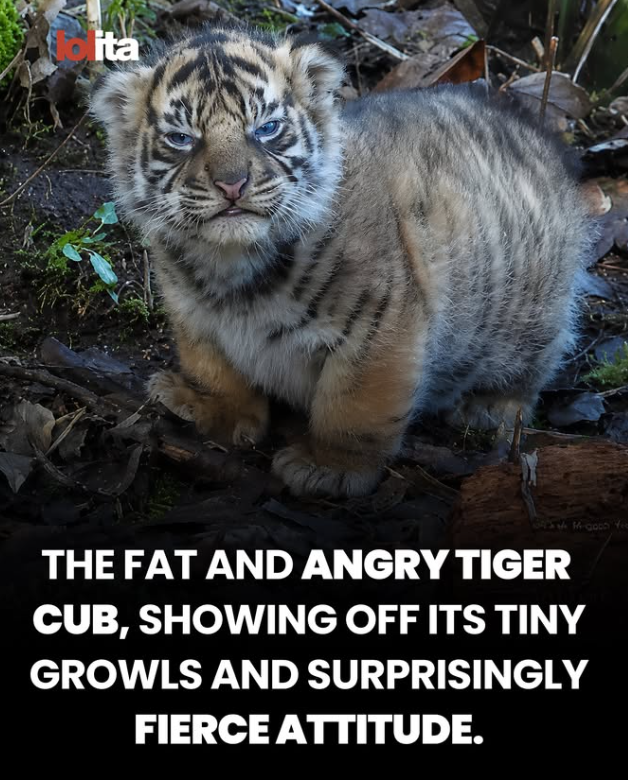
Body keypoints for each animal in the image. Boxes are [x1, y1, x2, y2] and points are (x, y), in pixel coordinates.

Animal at [90, 25, 592, 499]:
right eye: (182, 138)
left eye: (266, 128)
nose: (233, 184)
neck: (231, 267)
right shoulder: (194, 318)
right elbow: (216, 372)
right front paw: (211, 410)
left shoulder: (380, 327)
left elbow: (353, 406)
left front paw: (330, 469)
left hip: (529, 314)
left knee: (531, 368)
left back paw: (489, 407)